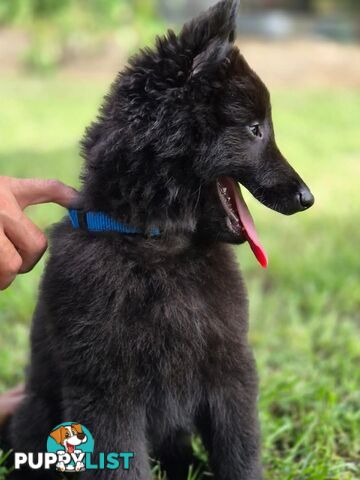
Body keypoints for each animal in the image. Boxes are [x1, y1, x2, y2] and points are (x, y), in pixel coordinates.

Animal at [7, 0, 312, 480]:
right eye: (254, 129)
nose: (308, 198)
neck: (160, 243)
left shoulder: (230, 370)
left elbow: (240, 448)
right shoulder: (108, 390)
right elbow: (122, 461)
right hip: (36, 414)